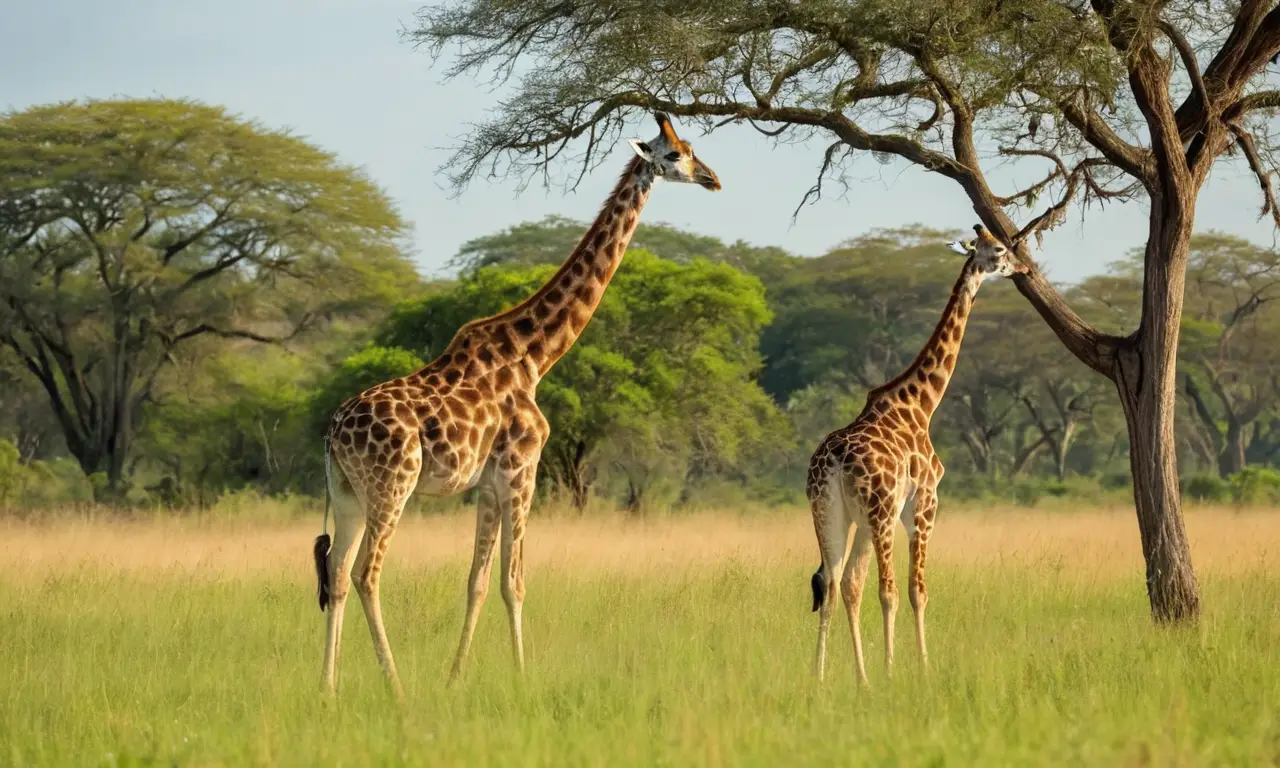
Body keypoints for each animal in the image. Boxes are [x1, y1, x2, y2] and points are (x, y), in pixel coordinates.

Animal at [313, 111, 721, 697]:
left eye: (690, 148)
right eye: (676, 155)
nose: (713, 178)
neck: (535, 355)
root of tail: (332, 433)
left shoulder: (487, 482)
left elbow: (477, 580)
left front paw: (455, 676)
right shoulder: (521, 469)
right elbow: (515, 580)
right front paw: (522, 675)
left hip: (346, 492)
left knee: (337, 572)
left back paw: (327, 687)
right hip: (394, 485)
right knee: (368, 571)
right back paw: (396, 685)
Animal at [806, 224, 1027, 685]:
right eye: (999, 249)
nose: (1025, 269)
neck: (920, 405)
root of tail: (832, 461)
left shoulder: (873, 516)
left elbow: (855, 585)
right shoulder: (923, 507)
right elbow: (916, 591)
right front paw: (921, 666)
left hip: (831, 512)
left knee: (834, 582)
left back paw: (828, 678)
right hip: (880, 514)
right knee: (883, 588)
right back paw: (883, 673)